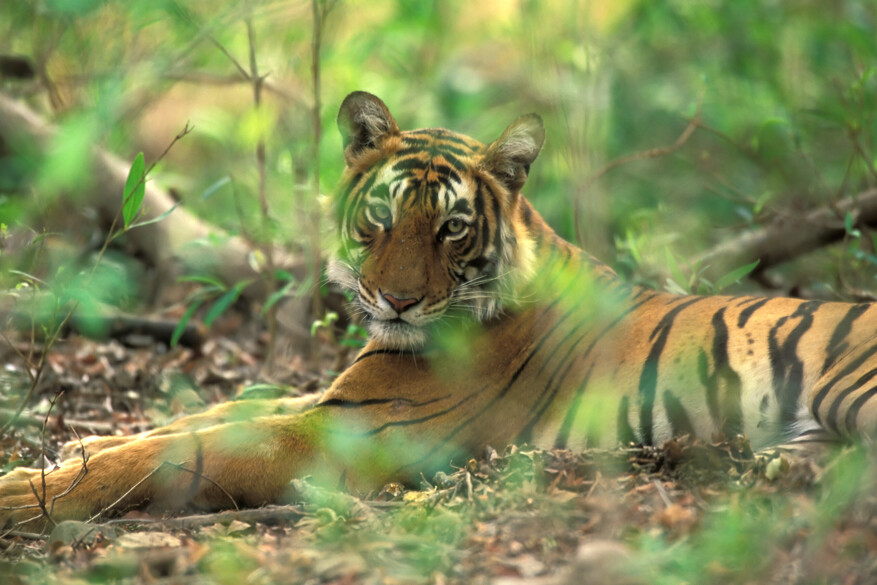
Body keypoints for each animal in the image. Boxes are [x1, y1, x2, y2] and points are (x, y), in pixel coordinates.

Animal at [1, 91, 876, 531]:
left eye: (451, 227)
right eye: (382, 217)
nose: (396, 298)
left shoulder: (353, 427)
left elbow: (180, 451)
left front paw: (26, 494)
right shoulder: (328, 395)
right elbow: (192, 417)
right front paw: (63, 451)